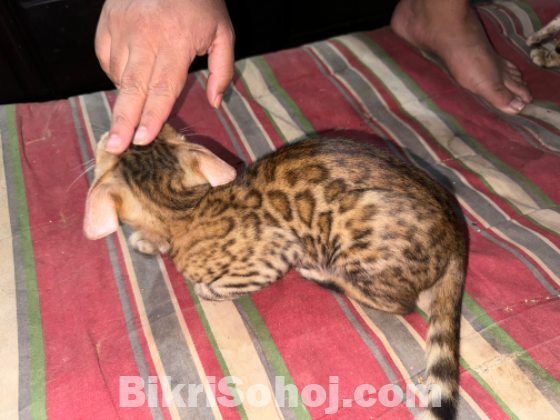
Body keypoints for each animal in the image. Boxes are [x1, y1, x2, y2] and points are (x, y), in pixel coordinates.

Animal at [84, 124, 468, 420]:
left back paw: (322, 276)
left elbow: (210, 288)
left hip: (355, 234)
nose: (112, 132)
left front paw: (198, 284)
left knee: (400, 304)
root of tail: (456, 226)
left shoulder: (274, 255)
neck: (180, 206)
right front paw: (147, 242)